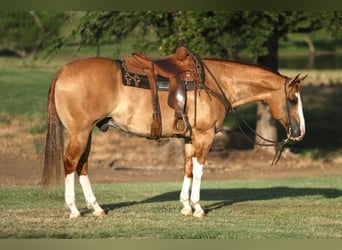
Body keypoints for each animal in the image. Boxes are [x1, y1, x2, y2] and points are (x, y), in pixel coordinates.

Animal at [41, 55, 306, 219]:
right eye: (293, 100)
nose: (300, 132)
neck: (215, 83)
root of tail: (62, 72)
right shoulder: (204, 136)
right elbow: (199, 170)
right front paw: (198, 207)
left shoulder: (190, 138)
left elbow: (188, 169)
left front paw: (186, 206)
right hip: (80, 132)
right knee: (70, 163)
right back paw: (74, 210)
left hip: (87, 134)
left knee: (82, 166)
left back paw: (96, 208)